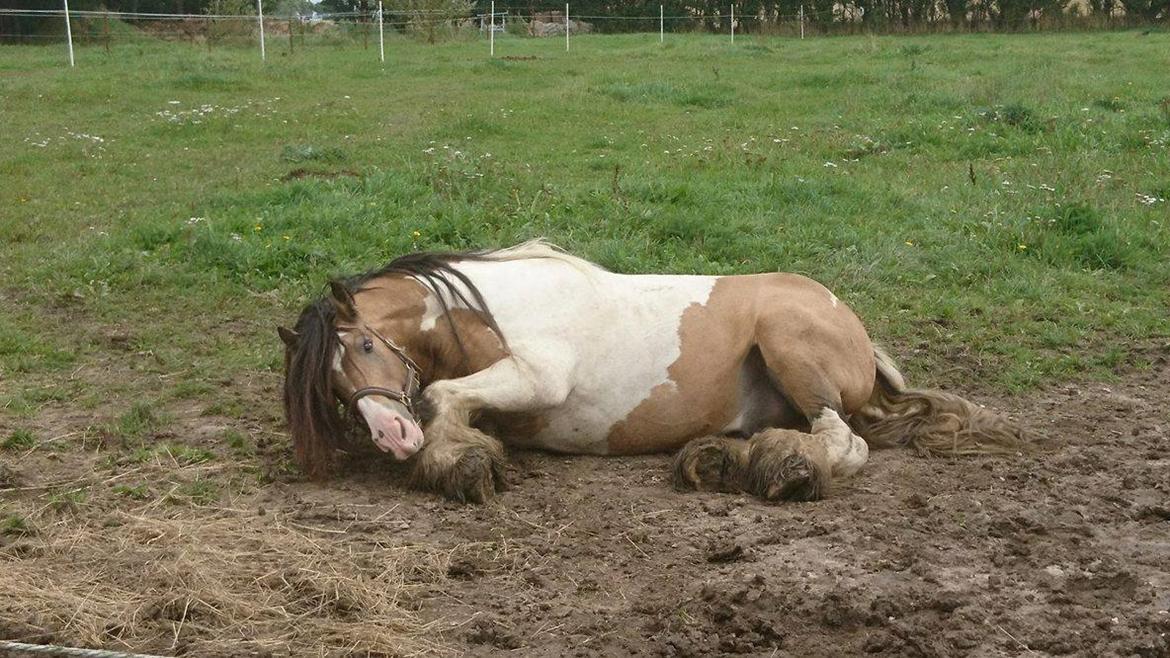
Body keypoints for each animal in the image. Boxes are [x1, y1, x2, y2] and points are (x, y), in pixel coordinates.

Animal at [276, 241, 1024, 501]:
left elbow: (435, 395)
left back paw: (779, 468)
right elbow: (448, 399)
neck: (490, 310)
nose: (389, 437)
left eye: (364, 347)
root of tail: (856, 332)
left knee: (844, 441)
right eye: (333, 389)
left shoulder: (540, 378)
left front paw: (456, 462)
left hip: (789, 344)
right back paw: (726, 460)